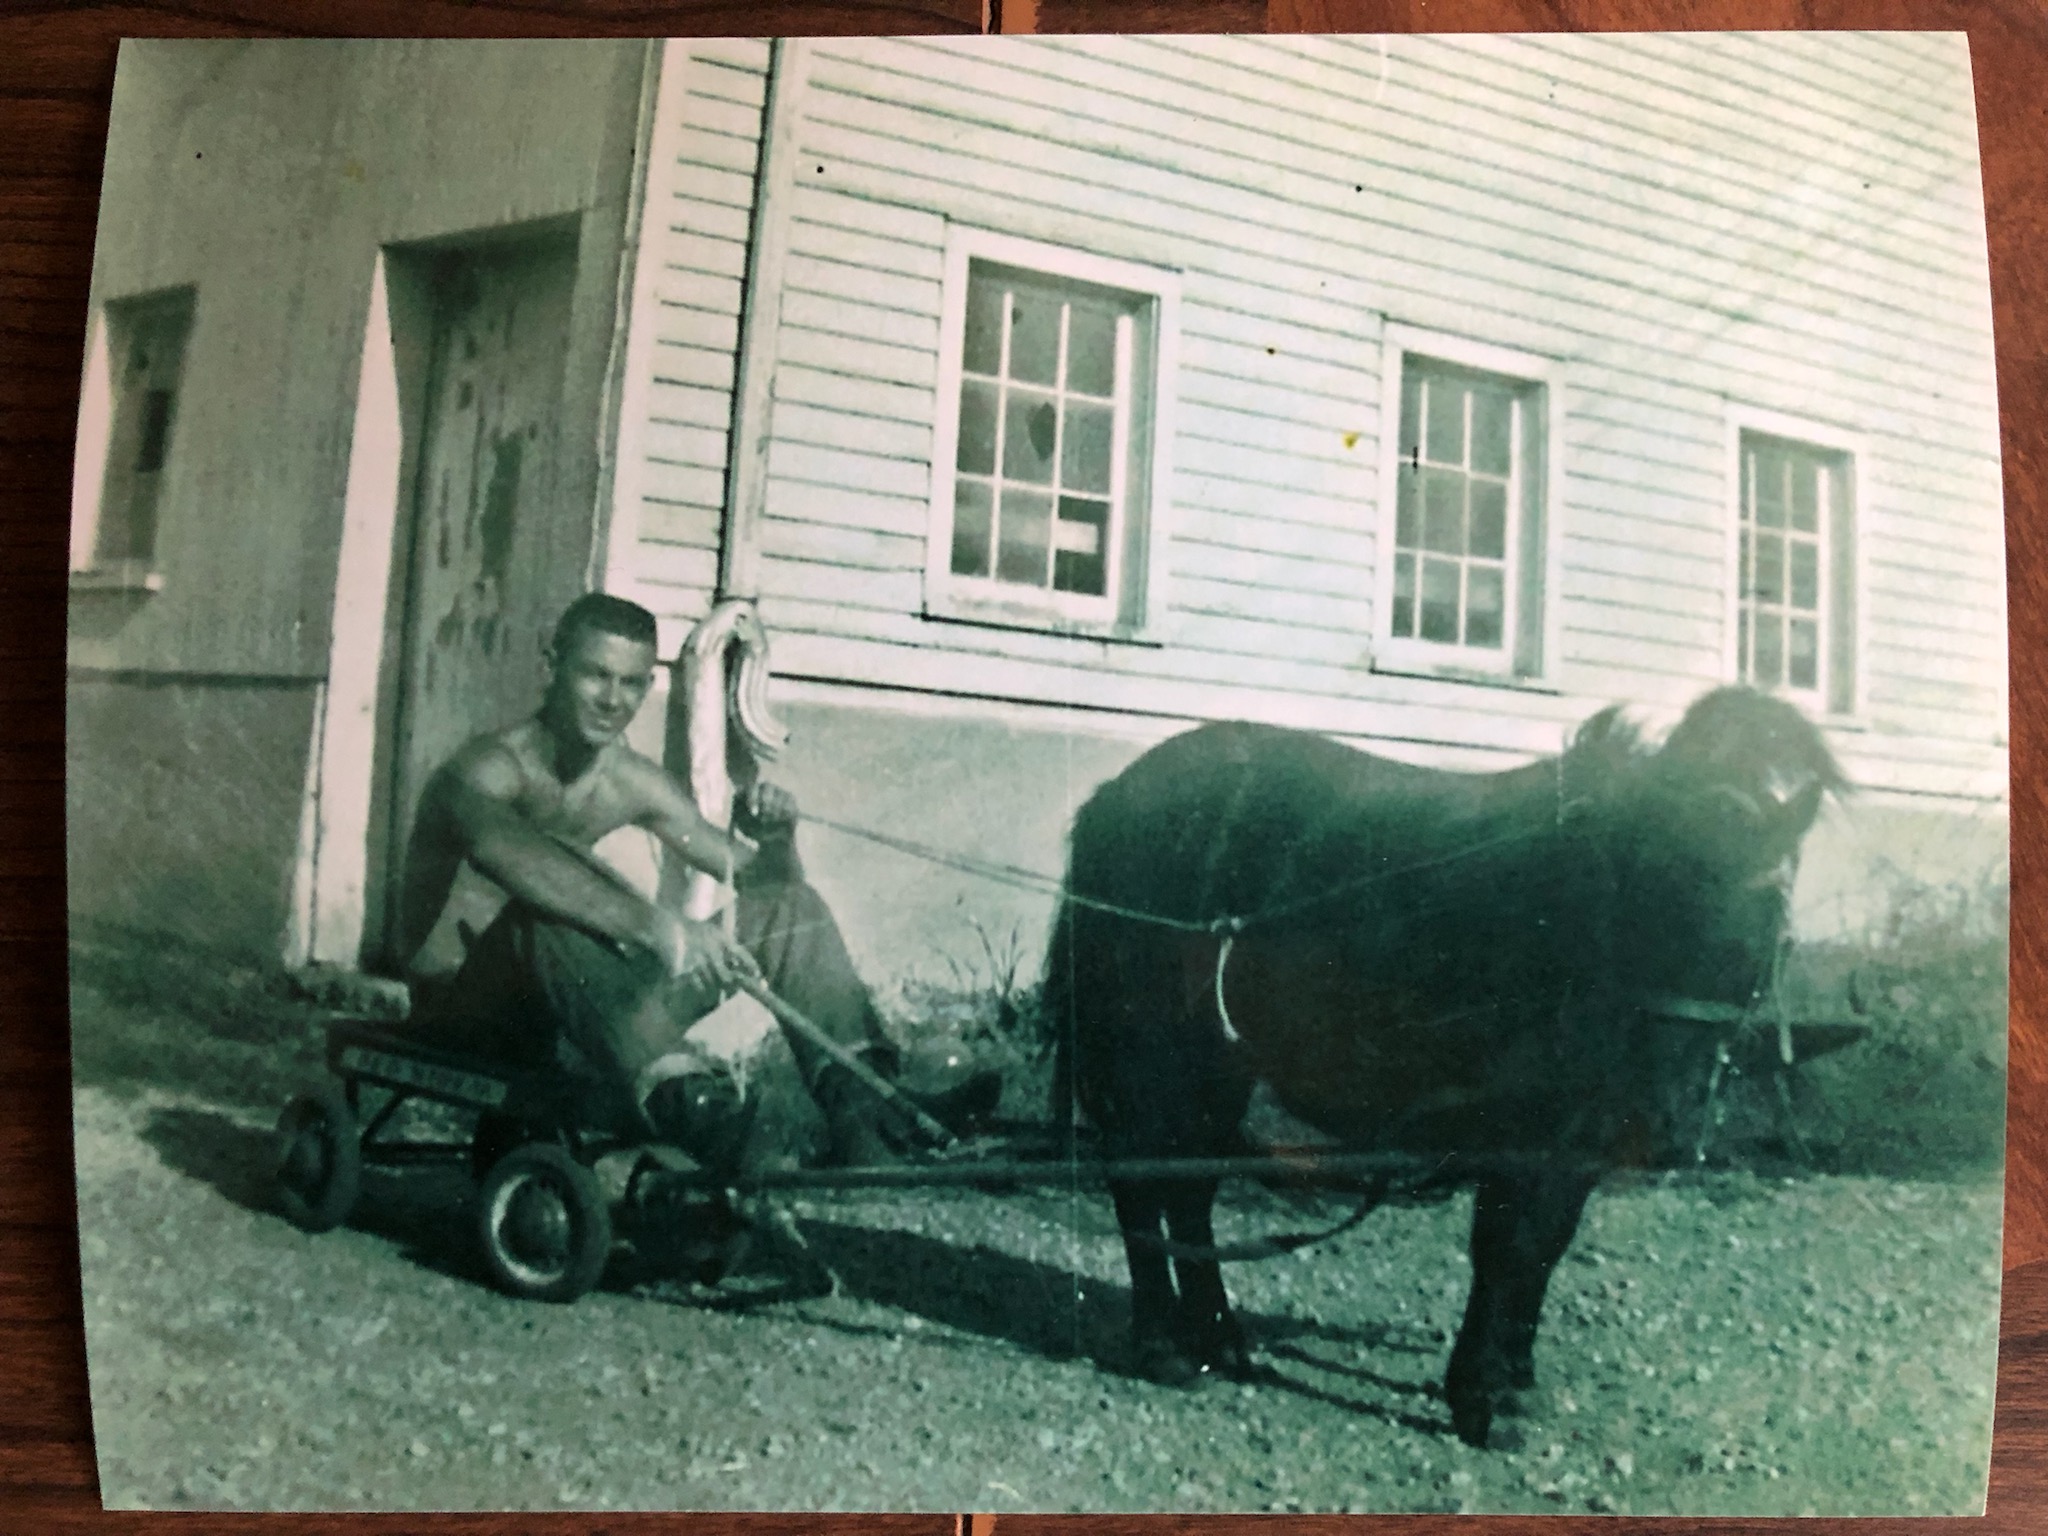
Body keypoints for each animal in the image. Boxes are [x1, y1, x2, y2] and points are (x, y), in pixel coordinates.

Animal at [1045, 686, 1845, 1447]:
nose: (1662, 1119)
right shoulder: (1522, 1129)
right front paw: (1480, 1395)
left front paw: (1514, 1378)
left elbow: (1546, 1245)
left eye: (1766, 920)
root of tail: (1112, 798)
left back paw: (1221, 1341)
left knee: (1190, 1188)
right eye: (1658, 889)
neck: (1571, 917)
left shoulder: (1578, 1139)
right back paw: (1165, 1347)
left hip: (1219, 1064)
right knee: (1140, 1181)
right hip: (1156, 1055)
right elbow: (1505, 1247)